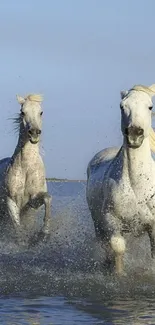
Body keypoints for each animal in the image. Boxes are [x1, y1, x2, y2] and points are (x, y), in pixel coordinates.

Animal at [0, 93, 51, 243]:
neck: (27, 167)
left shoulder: (32, 202)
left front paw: (44, 233)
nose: (34, 132)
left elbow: (47, 198)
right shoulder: (11, 201)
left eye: (41, 112)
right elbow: (17, 226)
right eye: (22, 112)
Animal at [86, 83, 155, 274]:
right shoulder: (112, 221)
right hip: (98, 224)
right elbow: (117, 248)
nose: (134, 133)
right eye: (122, 106)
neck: (137, 185)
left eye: (150, 106)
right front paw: (118, 274)